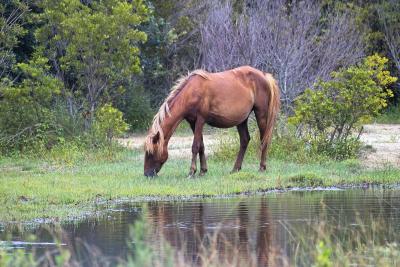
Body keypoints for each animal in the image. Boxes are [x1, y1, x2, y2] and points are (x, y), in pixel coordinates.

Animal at [145, 65, 282, 178]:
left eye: (151, 152)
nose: (147, 174)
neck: (191, 92)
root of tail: (264, 75)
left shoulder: (200, 120)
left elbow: (195, 146)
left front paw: (191, 172)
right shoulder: (192, 122)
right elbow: (201, 146)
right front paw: (202, 171)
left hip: (261, 115)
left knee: (264, 139)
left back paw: (262, 167)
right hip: (242, 120)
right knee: (244, 140)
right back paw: (235, 169)